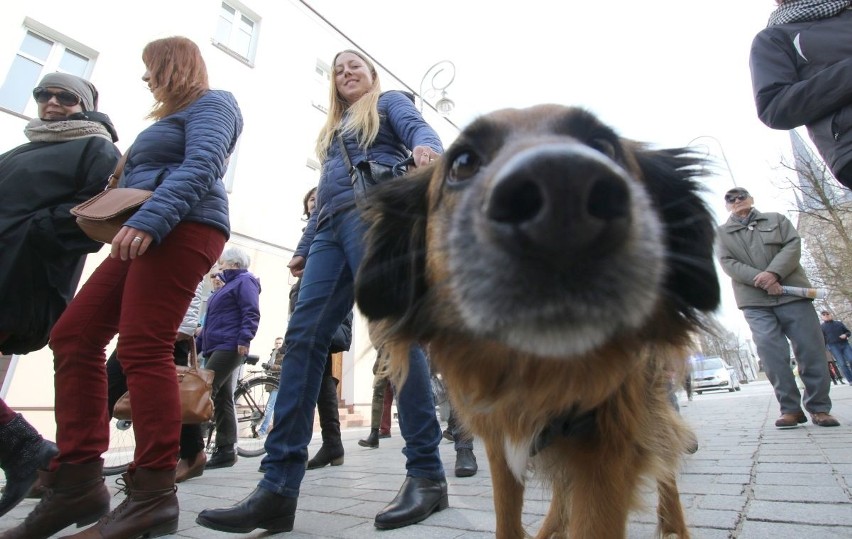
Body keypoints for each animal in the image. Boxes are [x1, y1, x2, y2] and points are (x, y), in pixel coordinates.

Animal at [352, 106, 720, 539]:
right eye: (463, 162)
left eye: (604, 146)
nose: (564, 190)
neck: (539, 376)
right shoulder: (501, 443)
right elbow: (509, 520)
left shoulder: (610, 455)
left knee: (665, 459)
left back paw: (673, 524)